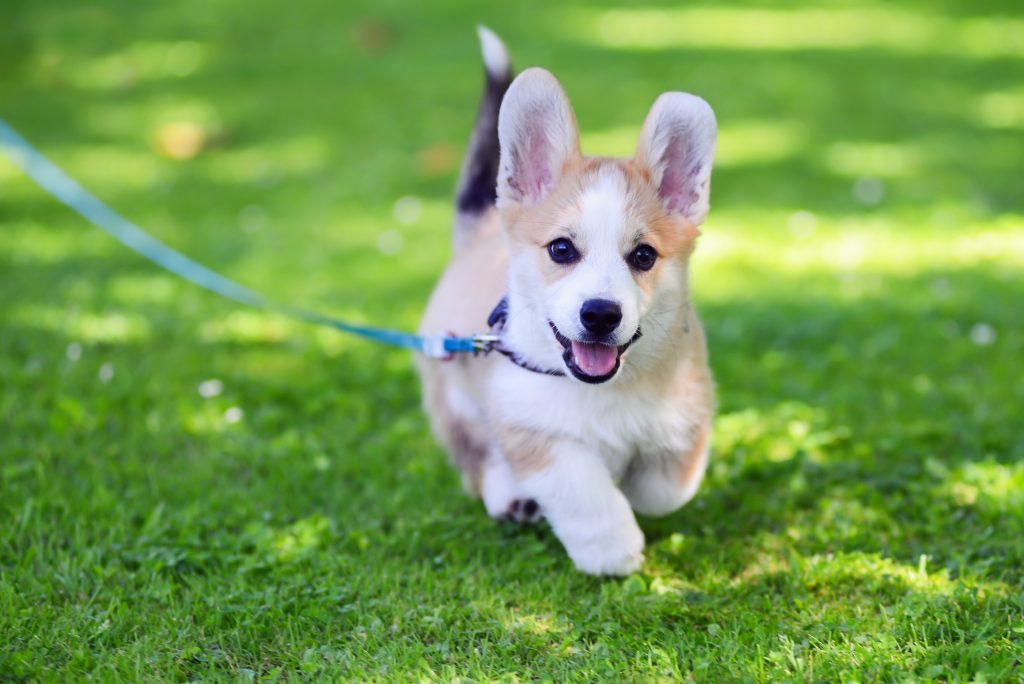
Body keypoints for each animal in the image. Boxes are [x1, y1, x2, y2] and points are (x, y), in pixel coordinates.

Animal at [413, 28, 712, 577]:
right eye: (561, 249)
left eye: (643, 255)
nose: (600, 314)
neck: (606, 389)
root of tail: (478, 232)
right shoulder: (527, 420)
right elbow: (582, 488)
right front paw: (611, 547)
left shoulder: (687, 413)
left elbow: (665, 489)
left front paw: (633, 486)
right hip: (455, 398)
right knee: (478, 459)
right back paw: (512, 497)